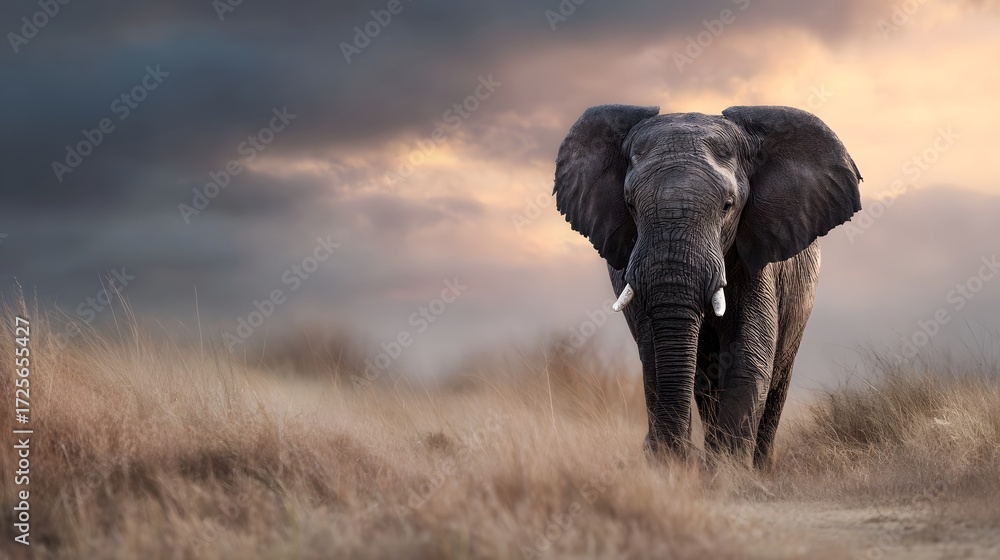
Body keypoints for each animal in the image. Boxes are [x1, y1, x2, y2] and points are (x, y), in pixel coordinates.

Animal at [553, 104, 862, 467]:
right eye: (629, 204)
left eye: (728, 206)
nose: (676, 453)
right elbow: (655, 357)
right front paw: (673, 465)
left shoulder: (757, 260)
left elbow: (749, 356)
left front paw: (725, 471)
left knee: (776, 379)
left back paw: (759, 467)